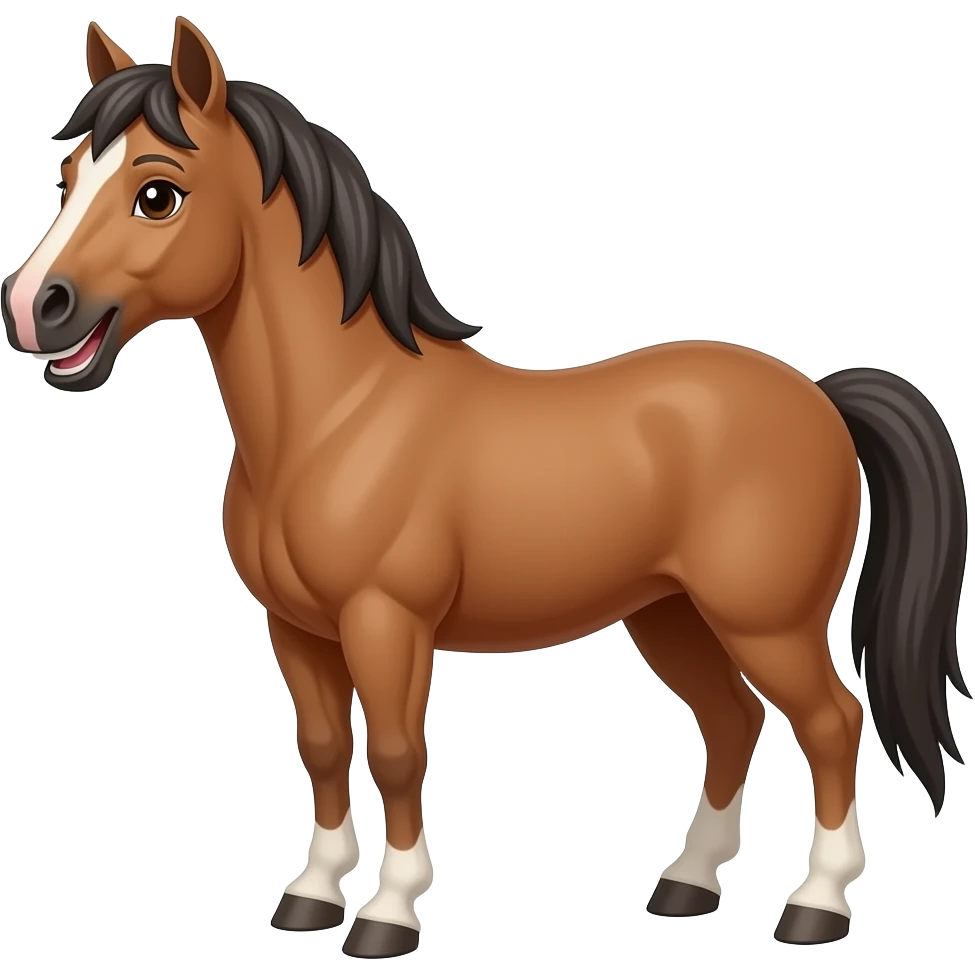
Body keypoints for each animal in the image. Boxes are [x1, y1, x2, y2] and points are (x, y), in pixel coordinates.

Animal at [1, 16, 968, 958]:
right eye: (67, 176)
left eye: (157, 193)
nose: (32, 307)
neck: (341, 416)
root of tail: (819, 396)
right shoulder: (296, 627)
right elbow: (323, 747)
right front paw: (310, 897)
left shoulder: (385, 620)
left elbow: (396, 752)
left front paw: (388, 913)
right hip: (670, 615)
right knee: (732, 721)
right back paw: (686, 885)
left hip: (764, 622)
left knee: (831, 722)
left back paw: (816, 905)